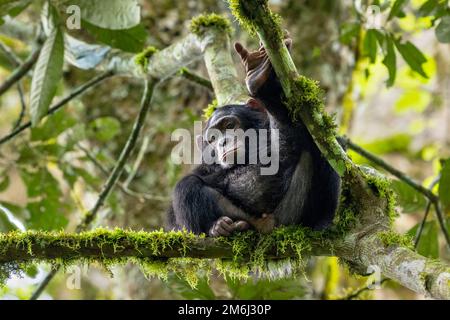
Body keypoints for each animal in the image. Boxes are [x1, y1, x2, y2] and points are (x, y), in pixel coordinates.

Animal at [166, 38, 342, 236]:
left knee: (322, 147)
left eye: (229, 125)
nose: (223, 142)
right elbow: (175, 216)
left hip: (290, 215)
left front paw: (263, 82)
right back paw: (219, 227)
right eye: (212, 138)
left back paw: (321, 222)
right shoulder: (204, 167)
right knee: (185, 186)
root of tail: (267, 227)